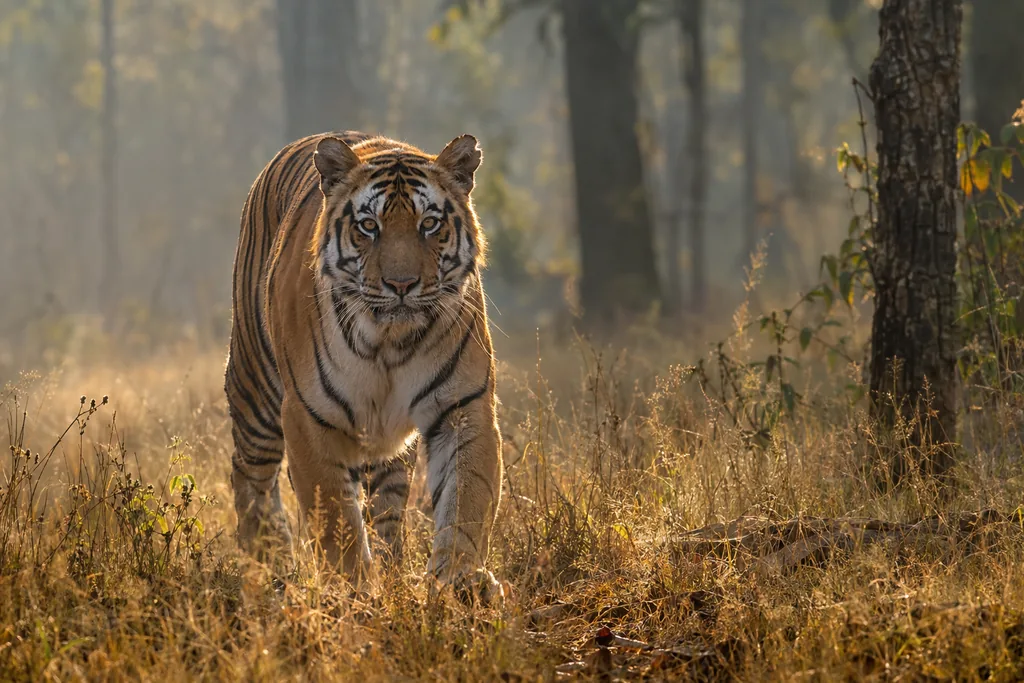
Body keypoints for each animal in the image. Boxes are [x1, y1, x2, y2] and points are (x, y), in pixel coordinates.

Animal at [224, 130, 503, 604]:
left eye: (430, 224)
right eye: (368, 226)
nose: (401, 285)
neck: (391, 342)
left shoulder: (463, 408)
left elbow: (466, 499)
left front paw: (459, 583)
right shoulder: (308, 417)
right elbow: (336, 520)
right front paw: (353, 592)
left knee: (386, 503)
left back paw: (391, 568)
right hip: (255, 392)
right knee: (249, 477)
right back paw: (270, 567)